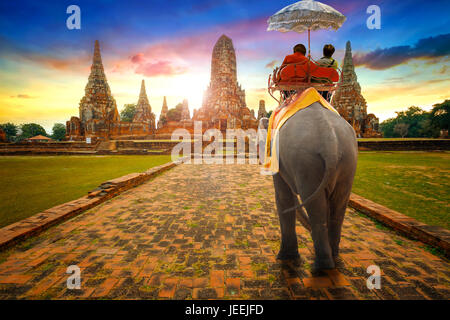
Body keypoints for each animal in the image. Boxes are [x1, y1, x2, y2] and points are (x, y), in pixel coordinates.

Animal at [260, 101, 358, 272]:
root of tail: (330, 143)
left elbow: (283, 196)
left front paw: (284, 257)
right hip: (348, 159)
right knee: (338, 205)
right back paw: (333, 255)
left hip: (305, 161)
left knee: (314, 204)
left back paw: (322, 266)